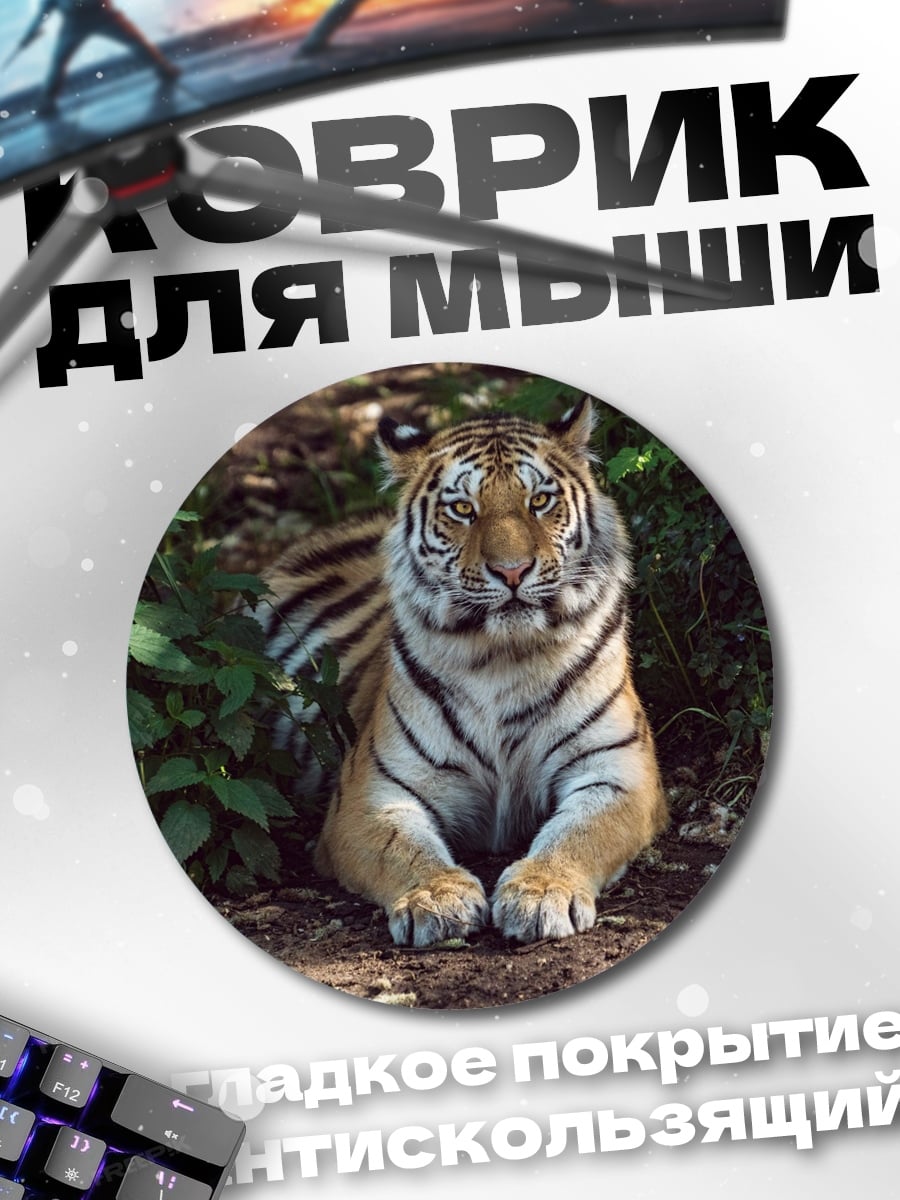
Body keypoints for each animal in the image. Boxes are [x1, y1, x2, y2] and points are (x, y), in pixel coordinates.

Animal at [258, 397, 668, 946]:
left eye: (540, 501)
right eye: (462, 509)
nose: (513, 571)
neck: (504, 657)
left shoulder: (619, 771)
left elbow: (581, 833)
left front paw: (542, 892)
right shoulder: (372, 791)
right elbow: (401, 847)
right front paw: (437, 897)